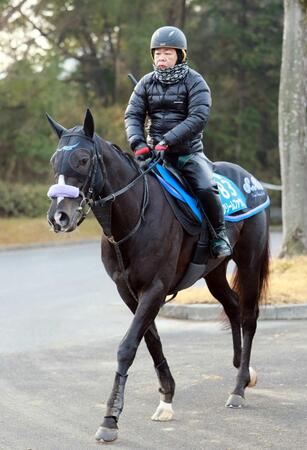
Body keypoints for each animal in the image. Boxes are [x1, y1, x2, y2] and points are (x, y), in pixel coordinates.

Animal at [46, 109, 270, 442]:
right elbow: (151, 340)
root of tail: (252, 181)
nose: (59, 216)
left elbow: (128, 346)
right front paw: (166, 397)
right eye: (54, 161)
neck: (135, 216)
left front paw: (110, 419)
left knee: (248, 316)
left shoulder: (155, 288)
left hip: (249, 262)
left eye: (83, 159)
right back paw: (242, 370)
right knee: (232, 306)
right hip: (214, 272)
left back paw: (239, 388)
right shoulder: (129, 292)